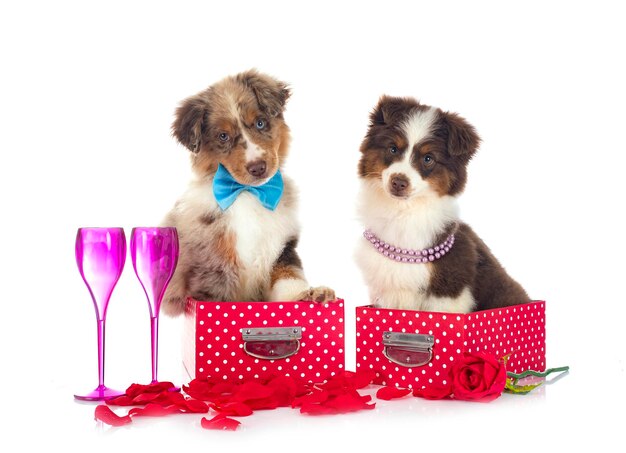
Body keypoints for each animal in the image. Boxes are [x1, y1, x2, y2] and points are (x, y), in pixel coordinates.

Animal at [161, 70, 336, 316]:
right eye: (223, 136)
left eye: (260, 123)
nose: (258, 168)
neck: (248, 194)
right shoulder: (211, 267)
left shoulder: (282, 248)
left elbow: (289, 277)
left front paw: (308, 294)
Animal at [356, 96, 528, 312]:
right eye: (393, 148)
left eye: (428, 158)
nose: (398, 182)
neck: (404, 212)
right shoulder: (388, 290)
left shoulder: (449, 291)